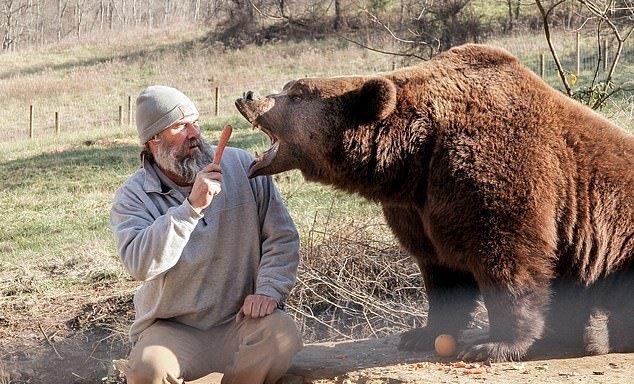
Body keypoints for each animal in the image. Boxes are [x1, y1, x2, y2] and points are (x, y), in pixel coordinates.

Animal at [233, 43, 632, 362]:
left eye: (296, 93)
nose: (248, 95)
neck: (414, 153)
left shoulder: (499, 171)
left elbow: (511, 257)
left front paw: (494, 344)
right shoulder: (420, 205)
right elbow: (441, 270)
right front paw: (422, 334)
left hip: (622, 238)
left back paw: (598, 333)